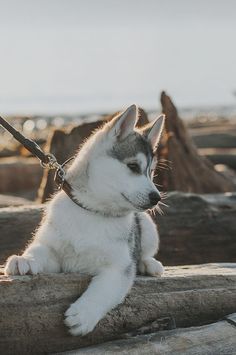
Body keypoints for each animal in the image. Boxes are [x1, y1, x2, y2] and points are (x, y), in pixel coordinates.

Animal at [4, 105, 165, 336]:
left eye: (151, 172)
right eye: (134, 166)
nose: (156, 198)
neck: (93, 211)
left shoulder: (119, 268)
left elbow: (104, 290)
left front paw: (84, 313)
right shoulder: (55, 253)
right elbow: (39, 251)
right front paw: (24, 259)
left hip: (148, 227)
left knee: (145, 252)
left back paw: (149, 264)